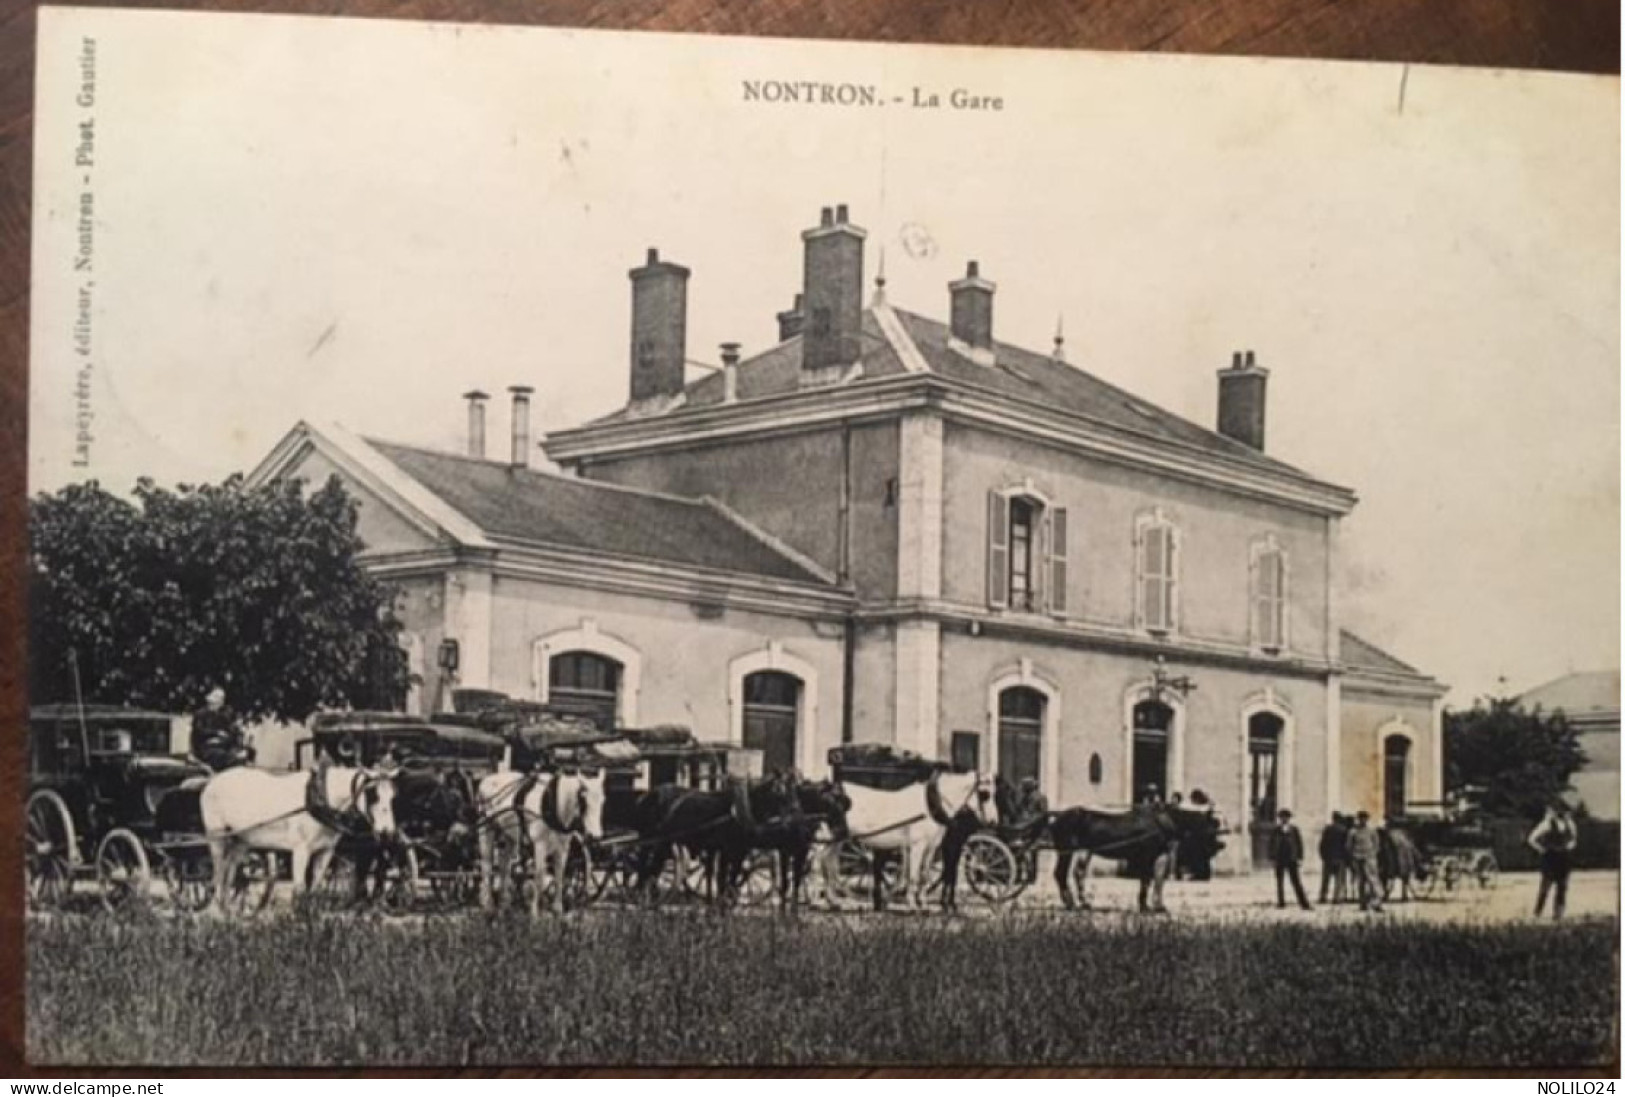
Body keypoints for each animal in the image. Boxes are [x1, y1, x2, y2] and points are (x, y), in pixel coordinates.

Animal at [198, 760, 398, 916]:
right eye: (373, 795)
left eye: (392, 796)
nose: (387, 831)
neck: (320, 799)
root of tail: (212, 781)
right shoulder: (301, 850)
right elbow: (300, 887)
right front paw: (297, 917)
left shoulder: (325, 851)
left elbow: (316, 885)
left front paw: (311, 914)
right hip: (217, 837)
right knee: (218, 873)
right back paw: (216, 910)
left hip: (240, 841)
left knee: (230, 873)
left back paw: (226, 910)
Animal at [484, 773, 611, 916]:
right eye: (583, 802)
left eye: (603, 801)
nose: (595, 836)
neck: (553, 804)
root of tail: (487, 779)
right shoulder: (539, 845)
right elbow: (539, 877)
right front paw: (534, 912)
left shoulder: (563, 848)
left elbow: (559, 875)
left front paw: (558, 910)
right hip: (487, 830)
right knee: (487, 865)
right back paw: (488, 904)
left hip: (509, 836)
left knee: (504, 865)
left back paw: (504, 903)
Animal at [838, 767, 988, 916]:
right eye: (984, 794)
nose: (990, 821)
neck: (930, 806)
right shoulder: (919, 846)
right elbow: (914, 876)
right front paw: (912, 906)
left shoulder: (930, 847)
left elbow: (923, 875)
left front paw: (924, 905)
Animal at [1046, 802, 1222, 916]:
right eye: (1212, 827)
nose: (1219, 846)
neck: (1160, 822)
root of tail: (1058, 816)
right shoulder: (1146, 854)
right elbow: (1146, 879)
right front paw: (1144, 906)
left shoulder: (1161, 854)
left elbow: (1158, 880)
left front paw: (1158, 906)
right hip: (1068, 851)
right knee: (1065, 874)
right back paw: (1074, 903)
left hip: (1078, 851)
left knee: (1071, 873)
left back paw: (1077, 903)